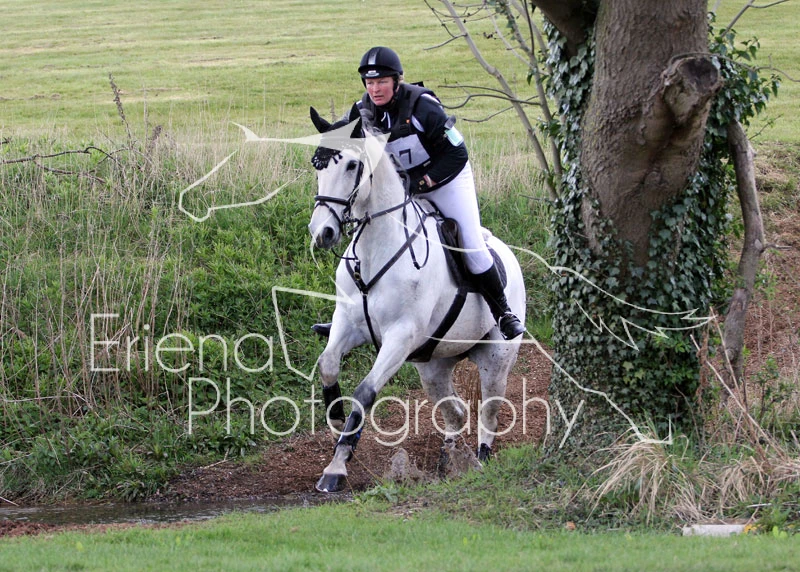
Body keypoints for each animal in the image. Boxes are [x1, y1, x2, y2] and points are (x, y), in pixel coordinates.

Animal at [307, 107, 526, 493]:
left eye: (351, 165)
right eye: (318, 165)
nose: (323, 233)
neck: (375, 250)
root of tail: (507, 254)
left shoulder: (400, 335)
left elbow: (365, 392)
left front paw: (336, 466)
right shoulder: (349, 323)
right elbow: (328, 363)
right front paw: (334, 418)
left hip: (496, 358)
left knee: (489, 409)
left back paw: (481, 458)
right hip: (434, 365)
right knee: (456, 412)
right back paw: (450, 459)